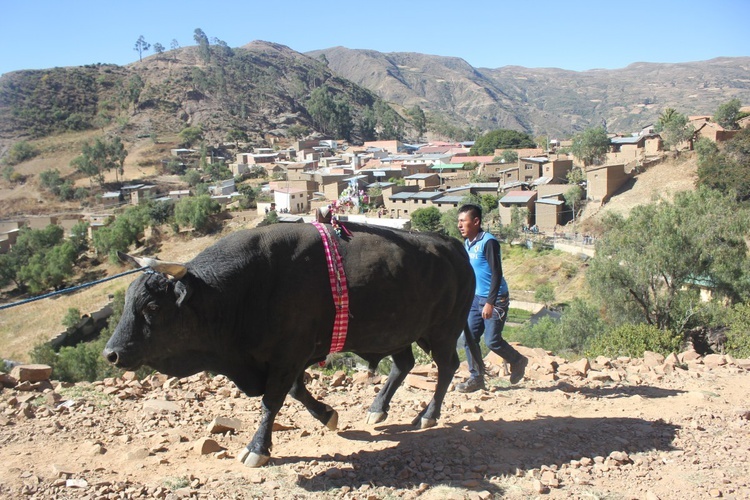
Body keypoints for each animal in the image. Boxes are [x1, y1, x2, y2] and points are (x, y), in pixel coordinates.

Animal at [104, 221, 476, 466]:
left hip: (443, 330)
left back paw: (428, 415)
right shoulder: (289, 358)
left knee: (447, 368)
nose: (112, 353)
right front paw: (327, 415)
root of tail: (451, 244)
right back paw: (377, 408)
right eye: (127, 301)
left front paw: (257, 448)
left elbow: (272, 400)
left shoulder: (288, 355)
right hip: (397, 332)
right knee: (403, 365)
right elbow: (296, 392)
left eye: (152, 307)